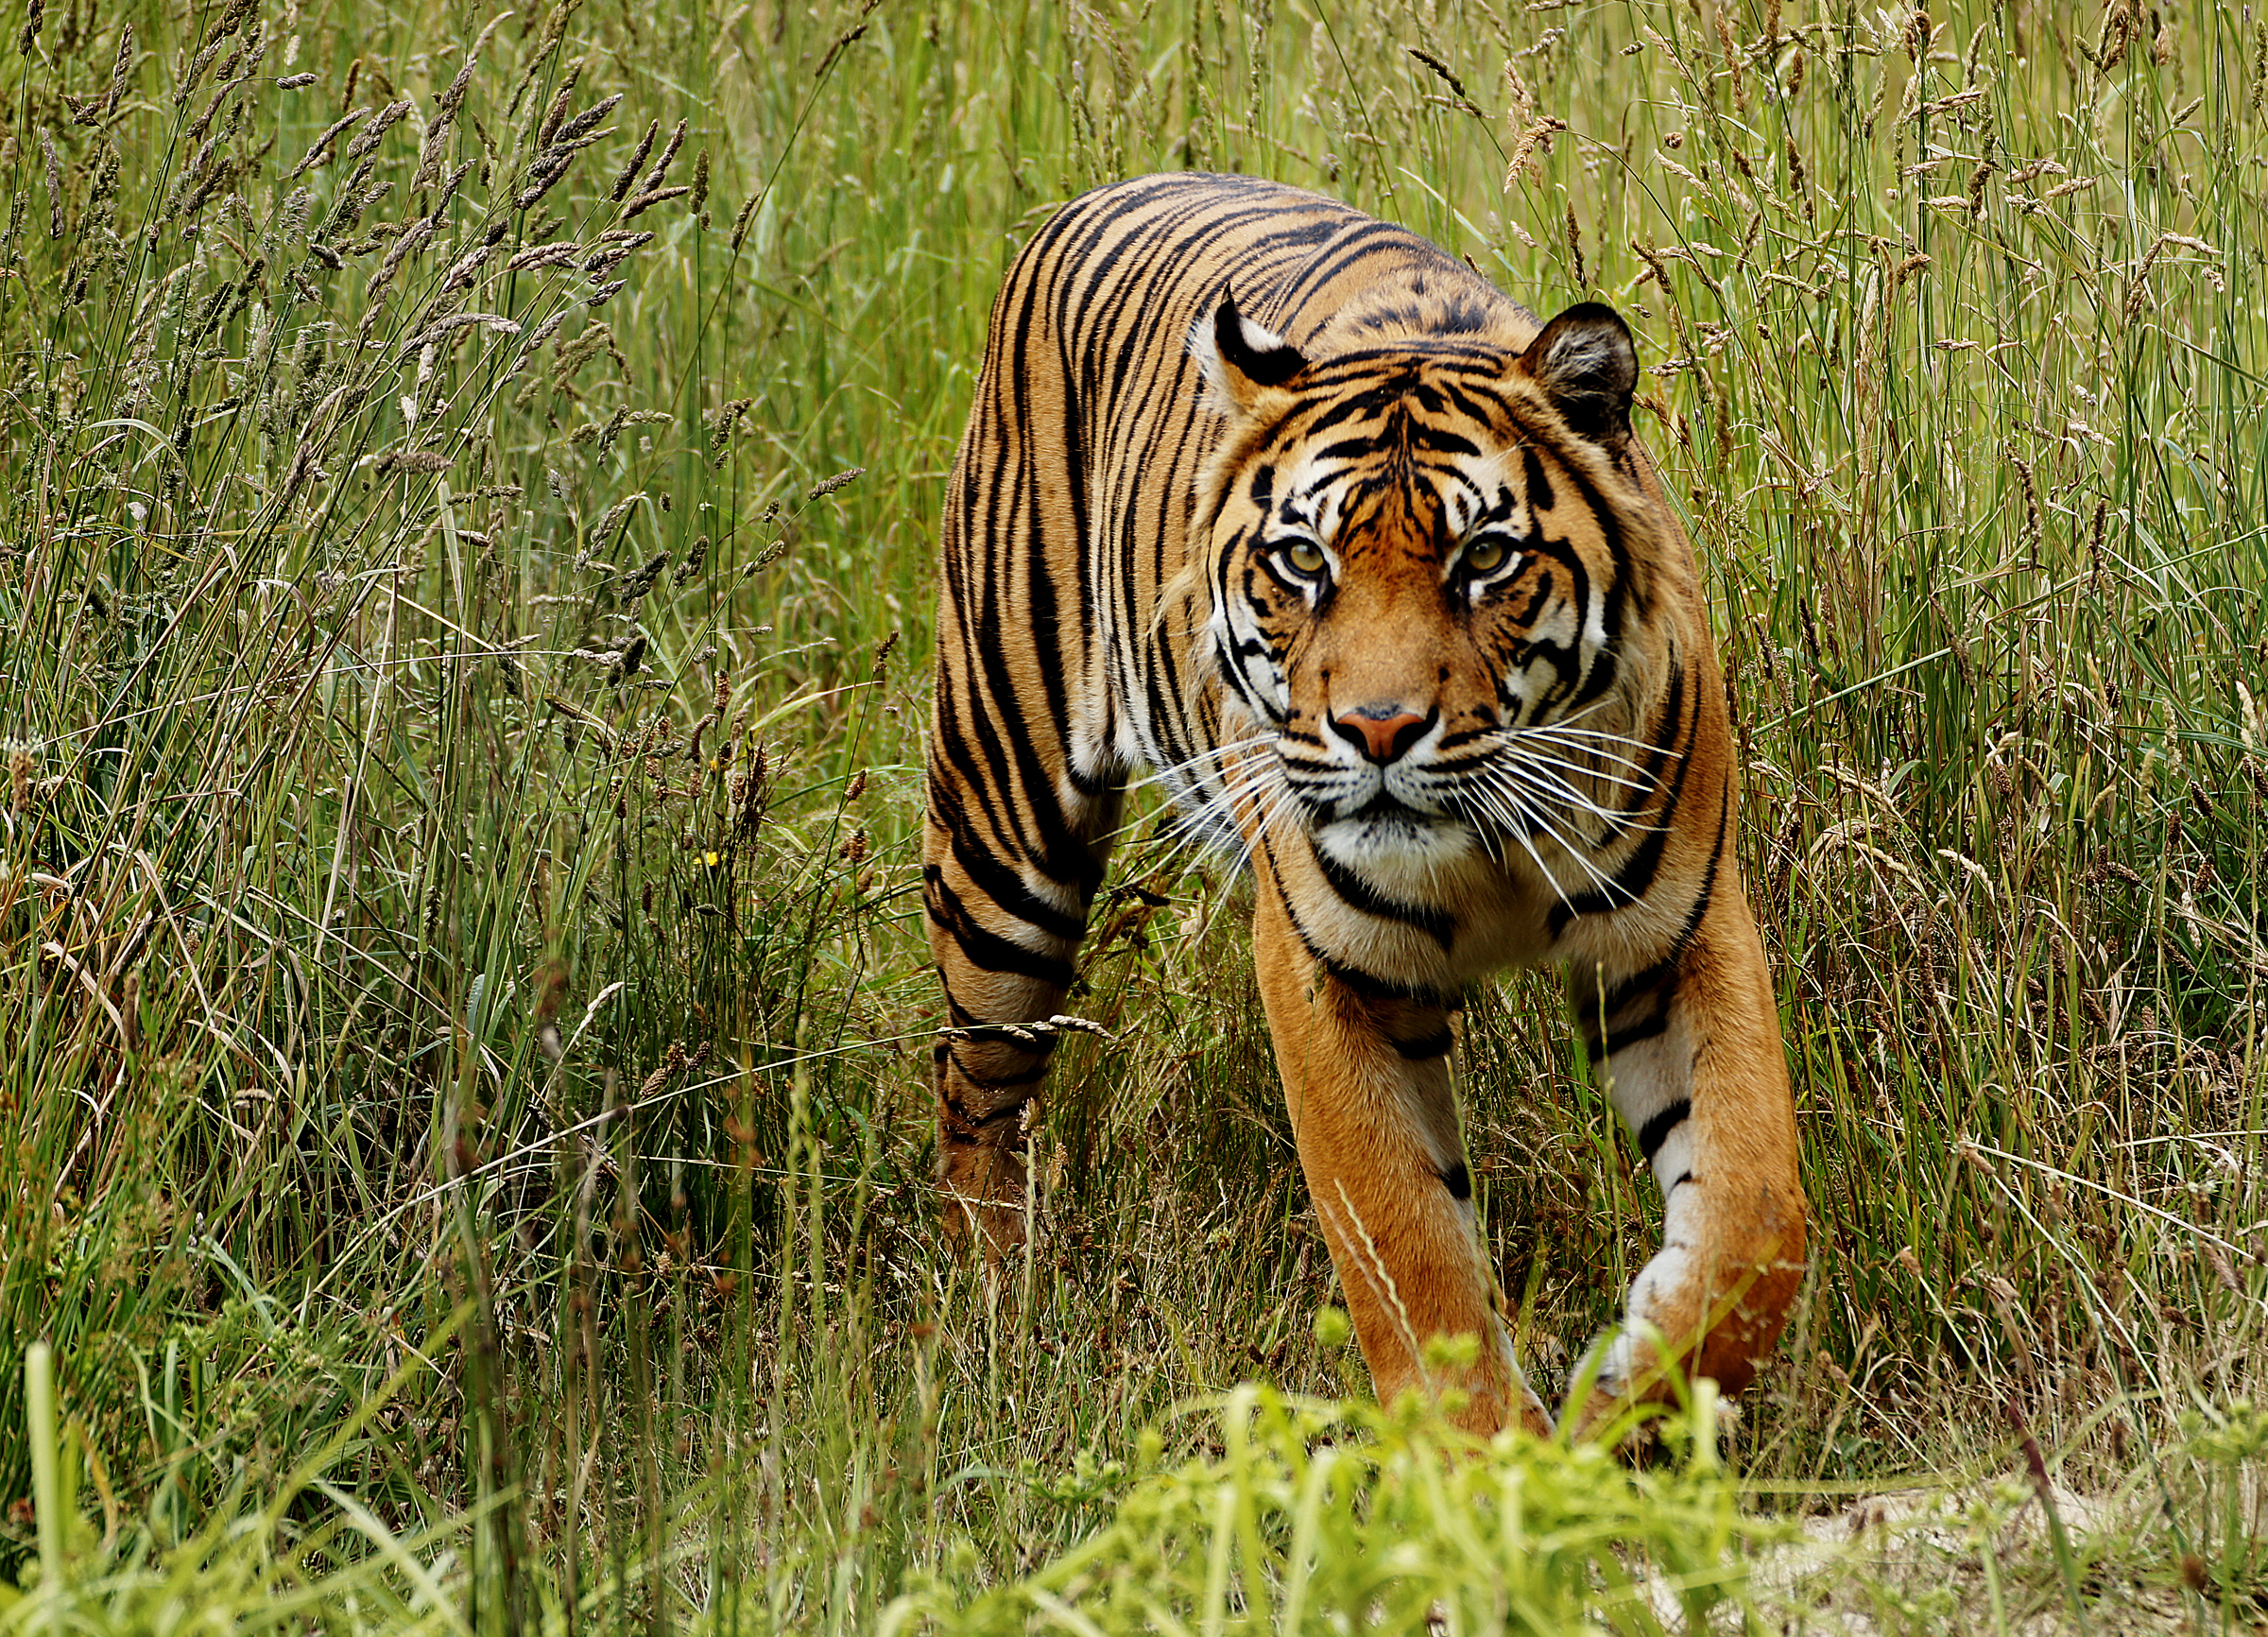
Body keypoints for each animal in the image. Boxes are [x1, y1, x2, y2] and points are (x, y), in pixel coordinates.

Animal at [920, 172, 1805, 1433]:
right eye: (1304, 561)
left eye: (1485, 559)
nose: (1378, 731)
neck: (1486, 843)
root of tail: (1095, 195)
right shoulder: (1326, 971)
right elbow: (1408, 1250)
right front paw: (1492, 1464)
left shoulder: (1676, 933)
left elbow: (1756, 1212)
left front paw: (1630, 1397)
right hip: (1005, 833)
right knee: (977, 1087)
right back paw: (995, 1317)